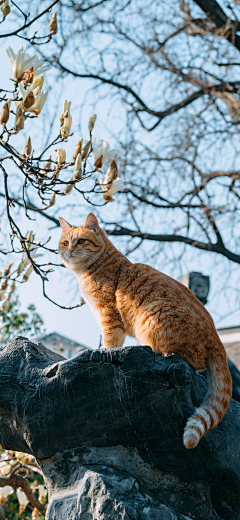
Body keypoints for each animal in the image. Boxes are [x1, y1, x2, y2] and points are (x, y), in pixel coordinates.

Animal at [58, 213, 232, 448]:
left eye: (81, 241)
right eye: (65, 242)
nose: (69, 251)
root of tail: (217, 340)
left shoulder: (109, 316)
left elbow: (111, 342)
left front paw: (105, 351)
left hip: (154, 316)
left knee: (193, 363)